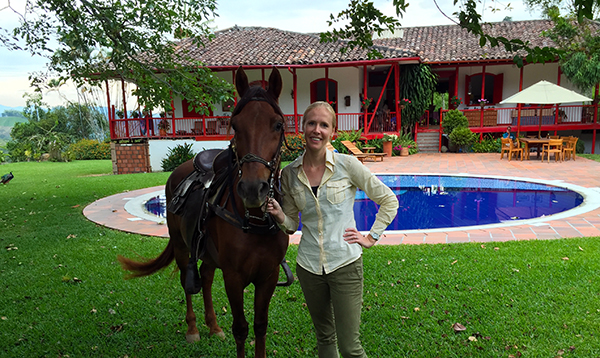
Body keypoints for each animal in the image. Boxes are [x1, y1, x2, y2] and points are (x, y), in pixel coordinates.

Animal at [118, 66, 290, 356]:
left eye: (277, 125)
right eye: (235, 125)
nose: (252, 189)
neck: (253, 221)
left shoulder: (268, 276)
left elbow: (260, 326)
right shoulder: (233, 277)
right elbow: (241, 329)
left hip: (207, 253)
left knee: (207, 278)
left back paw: (213, 326)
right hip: (180, 245)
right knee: (187, 282)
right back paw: (193, 329)